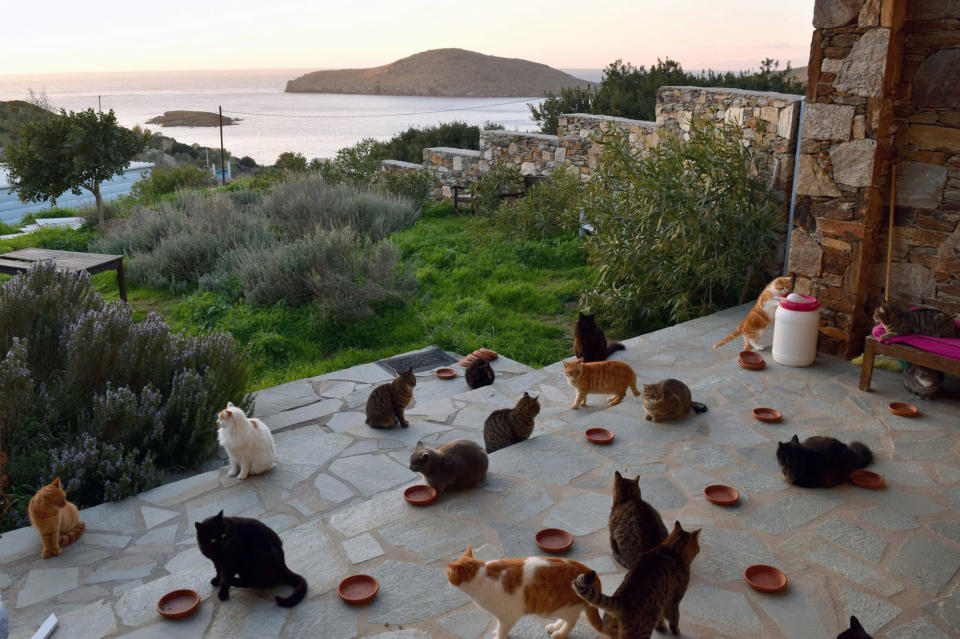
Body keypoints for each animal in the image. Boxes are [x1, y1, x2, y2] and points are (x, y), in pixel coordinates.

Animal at [446, 544, 604, 639]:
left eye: (448, 574)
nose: (446, 579)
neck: (481, 573)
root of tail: (590, 573)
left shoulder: (507, 618)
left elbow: (501, 631)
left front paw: (498, 636)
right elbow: (499, 628)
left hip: (563, 607)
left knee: (572, 620)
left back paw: (560, 633)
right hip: (562, 608)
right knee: (569, 617)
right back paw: (555, 626)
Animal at [572, 524, 700, 636]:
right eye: (698, 547)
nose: (699, 549)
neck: (671, 548)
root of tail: (621, 601)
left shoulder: (662, 603)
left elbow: (661, 618)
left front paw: (661, 628)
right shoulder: (674, 601)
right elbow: (674, 619)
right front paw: (676, 631)